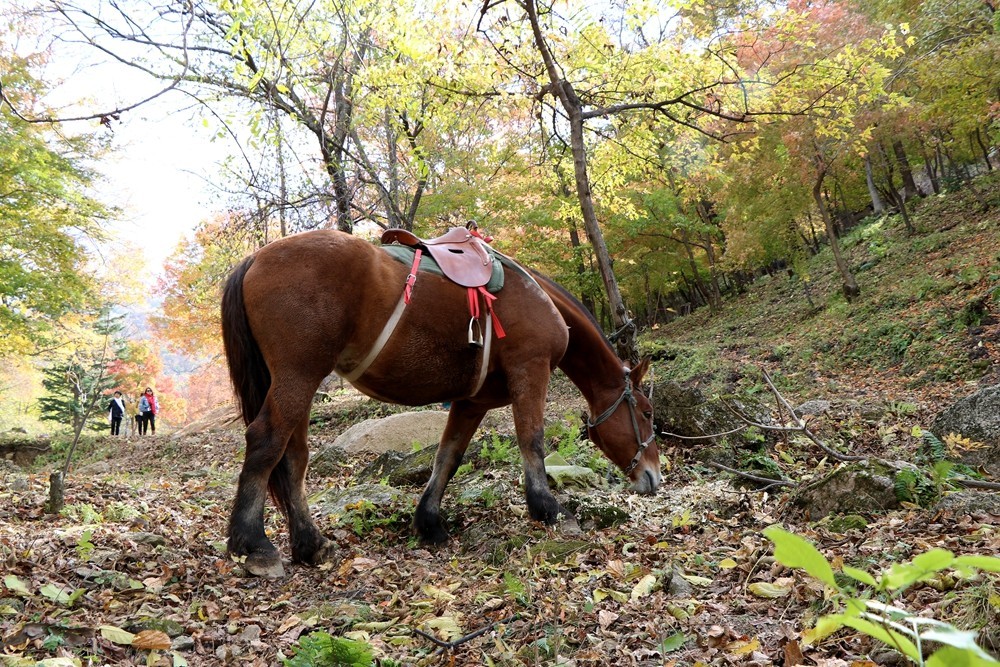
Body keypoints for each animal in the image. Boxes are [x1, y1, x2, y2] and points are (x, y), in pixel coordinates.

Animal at [221, 230, 656, 576]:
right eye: (647, 413)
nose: (654, 476)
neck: (536, 297)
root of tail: (254, 258)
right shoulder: (530, 372)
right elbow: (531, 440)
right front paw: (549, 510)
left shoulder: (472, 402)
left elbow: (448, 456)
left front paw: (429, 522)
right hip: (298, 376)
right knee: (265, 442)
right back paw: (254, 545)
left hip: (299, 383)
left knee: (294, 457)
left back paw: (311, 544)